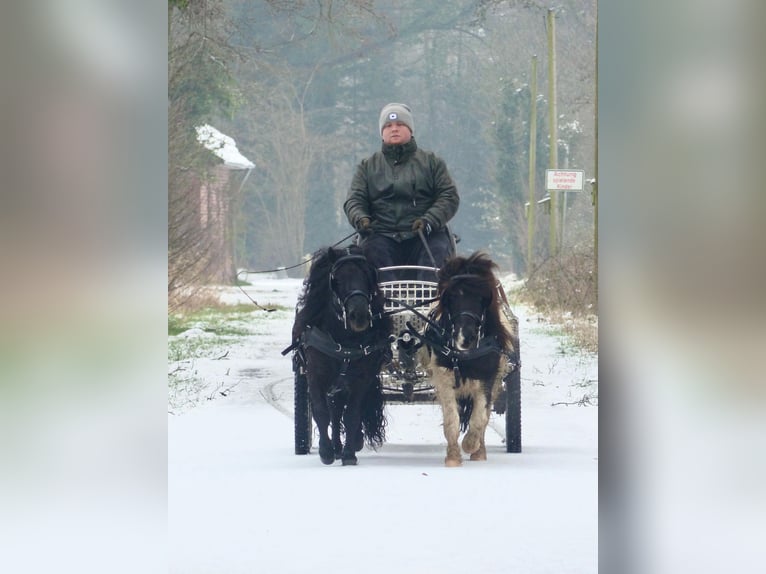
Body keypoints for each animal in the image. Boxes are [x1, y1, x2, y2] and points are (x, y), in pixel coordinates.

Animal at [292, 245, 392, 466]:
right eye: (336, 279)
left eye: (368, 275)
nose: (359, 315)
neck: (344, 340)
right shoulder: (315, 376)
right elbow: (322, 413)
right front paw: (326, 451)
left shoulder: (361, 379)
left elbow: (352, 414)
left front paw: (349, 454)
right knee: (333, 412)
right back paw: (335, 447)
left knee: (340, 411)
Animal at [424, 252, 520, 468]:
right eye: (452, 296)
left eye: (482, 297)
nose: (465, 337)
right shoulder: (444, 378)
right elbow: (452, 419)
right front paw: (453, 457)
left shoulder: (487, 379)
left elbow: (479, 418)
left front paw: (471, 445)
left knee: (484, 415)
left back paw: (479, 450)